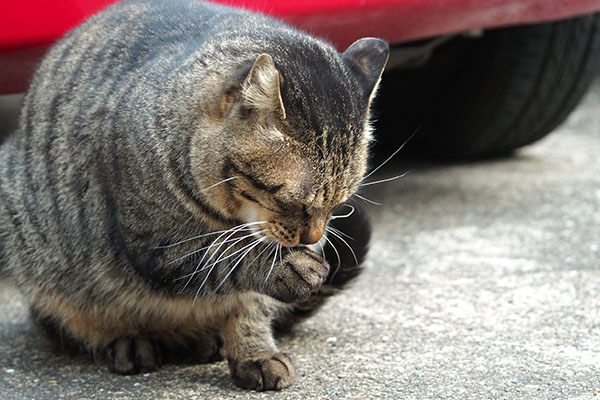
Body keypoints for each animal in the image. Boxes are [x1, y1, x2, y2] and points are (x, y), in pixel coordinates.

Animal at [0, 0, 386, 390]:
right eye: (293, 202)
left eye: (338, 204)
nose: (313, 237)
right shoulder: (157, 241)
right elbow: (227, 260)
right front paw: (285, 267)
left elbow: (249, 307)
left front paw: (255, 353)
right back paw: (130, 340)